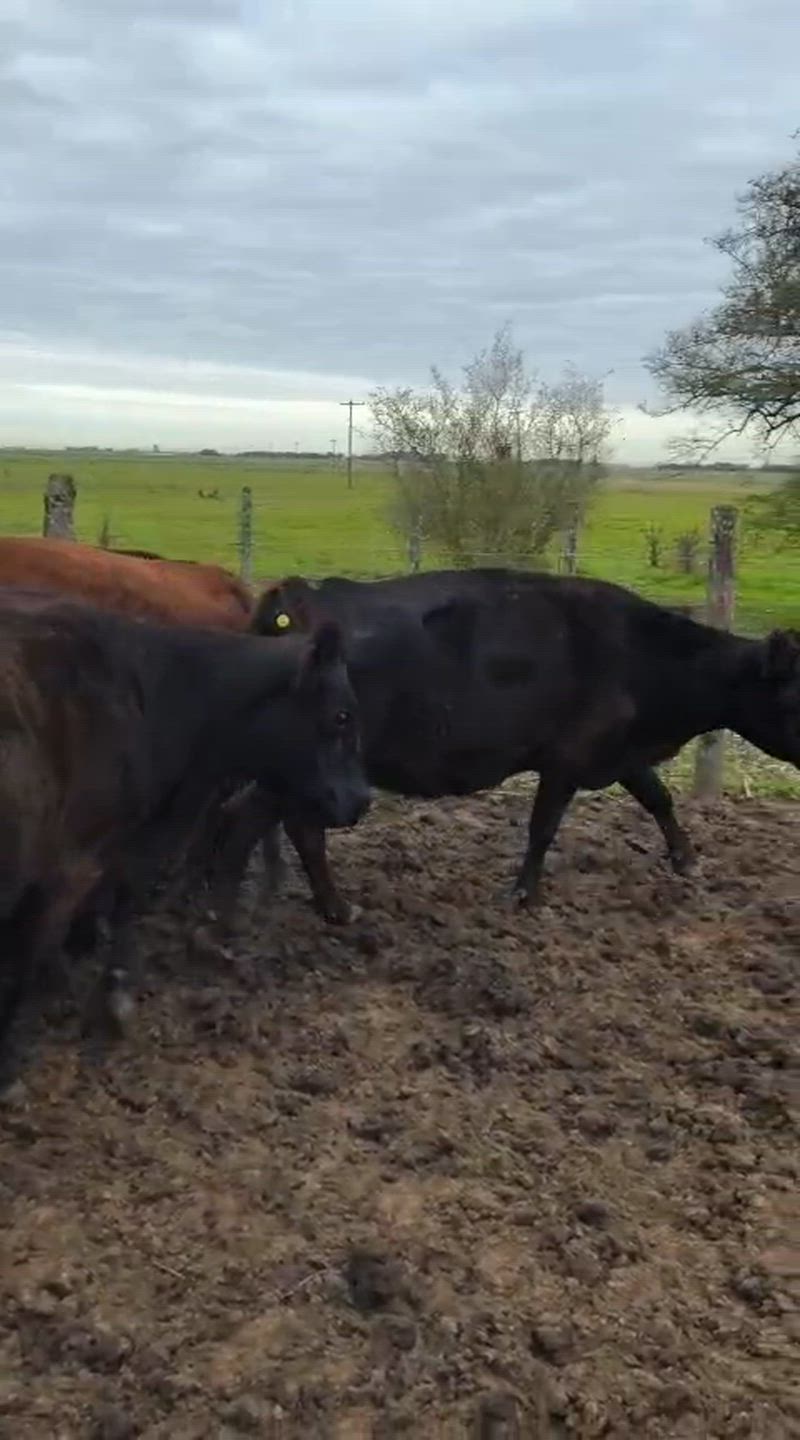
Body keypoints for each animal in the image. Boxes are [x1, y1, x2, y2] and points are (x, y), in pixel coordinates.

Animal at [225, 567, 800, 923]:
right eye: (794, 695)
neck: (640, 654)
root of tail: (298, 599)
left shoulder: (619, 753)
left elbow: (659, 798)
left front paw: (686, 860)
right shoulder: (567, 759)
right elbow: (542, 827)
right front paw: (526, 894)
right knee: (292, 827)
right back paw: (327, 907)